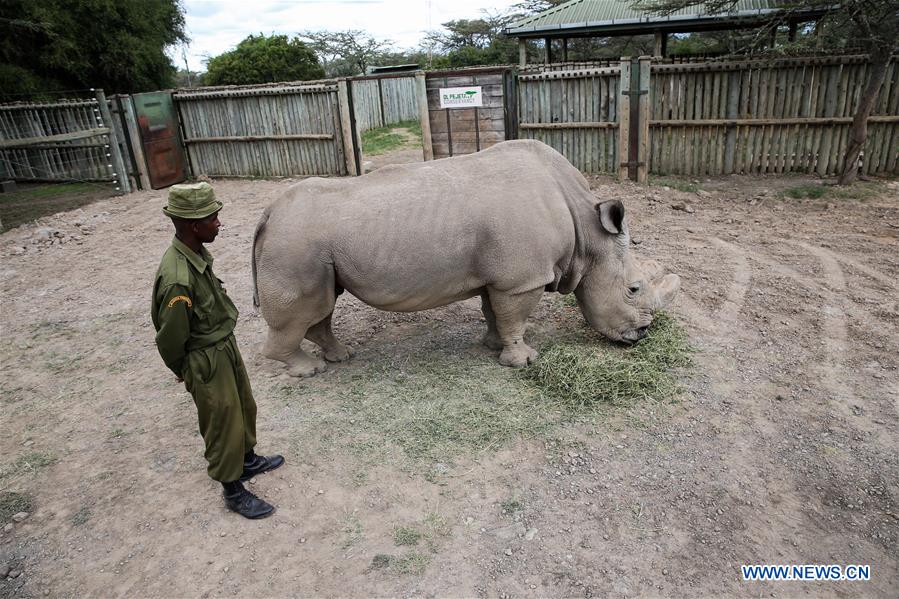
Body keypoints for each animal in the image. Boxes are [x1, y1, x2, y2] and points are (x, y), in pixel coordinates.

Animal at [252, 139, 680, 377]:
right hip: (294, 243)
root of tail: (268, 213)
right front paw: (523, 361)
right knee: (306, 310)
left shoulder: (501, 275)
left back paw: (341, 357)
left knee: (322, 306)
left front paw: (492, 346)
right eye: (633, 289)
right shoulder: (521, 278)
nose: (642, 335)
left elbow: (495, 311)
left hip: (308, 247)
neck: (586, 230)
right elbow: (515, 317)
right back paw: (310, 371)